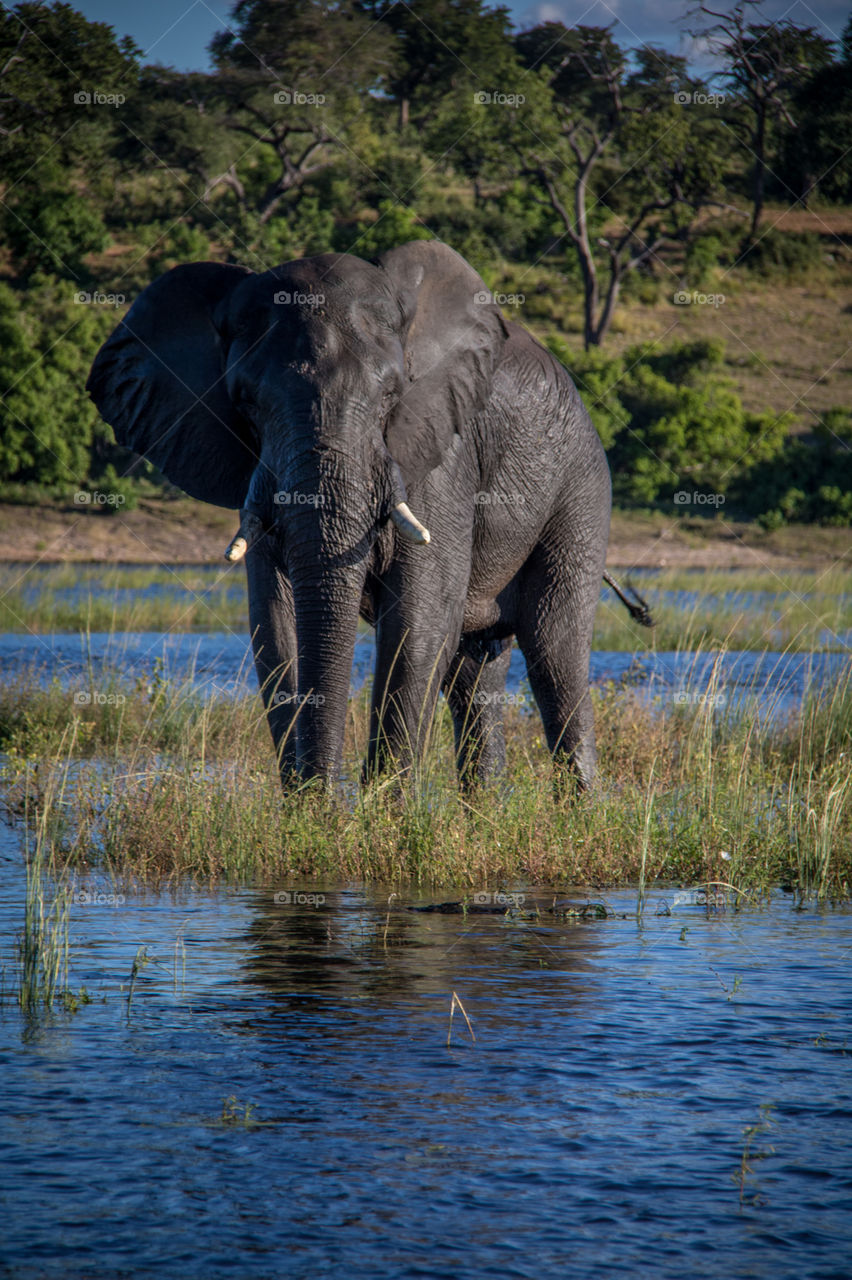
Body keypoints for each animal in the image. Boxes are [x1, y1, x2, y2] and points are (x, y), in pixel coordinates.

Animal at [87, 235, 644, 783]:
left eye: (391, 397)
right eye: (245, 404)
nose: (326, 792)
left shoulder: (441, 451)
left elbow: (418, 625)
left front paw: (379, 808)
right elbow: (275, 624)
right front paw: (311, 805)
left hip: (581, 486)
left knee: (555, 653)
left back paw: (580, 803)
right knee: (475, 671)